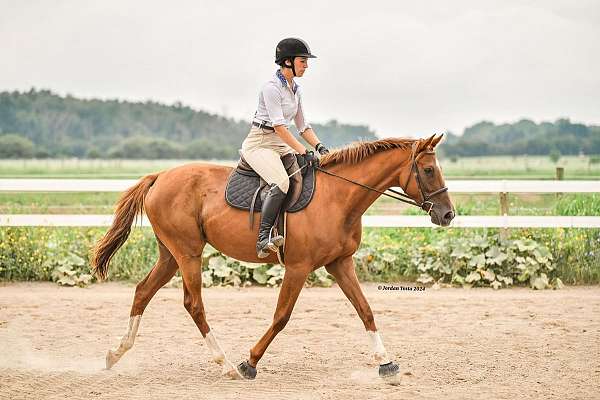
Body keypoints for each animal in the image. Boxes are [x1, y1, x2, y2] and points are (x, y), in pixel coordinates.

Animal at [90, 133, 454, 380]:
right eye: (428, 170)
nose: (448, 215)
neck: (338, 198)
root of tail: (159, 176)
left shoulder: (340, 263)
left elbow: (365, 310)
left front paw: (386, 363)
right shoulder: (298, 267)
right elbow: (281, 316)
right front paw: (249, 363)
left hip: (170, 255)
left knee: (143, 291)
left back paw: (114, 354)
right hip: (188, 254)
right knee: (193, 304)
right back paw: (225, 365)